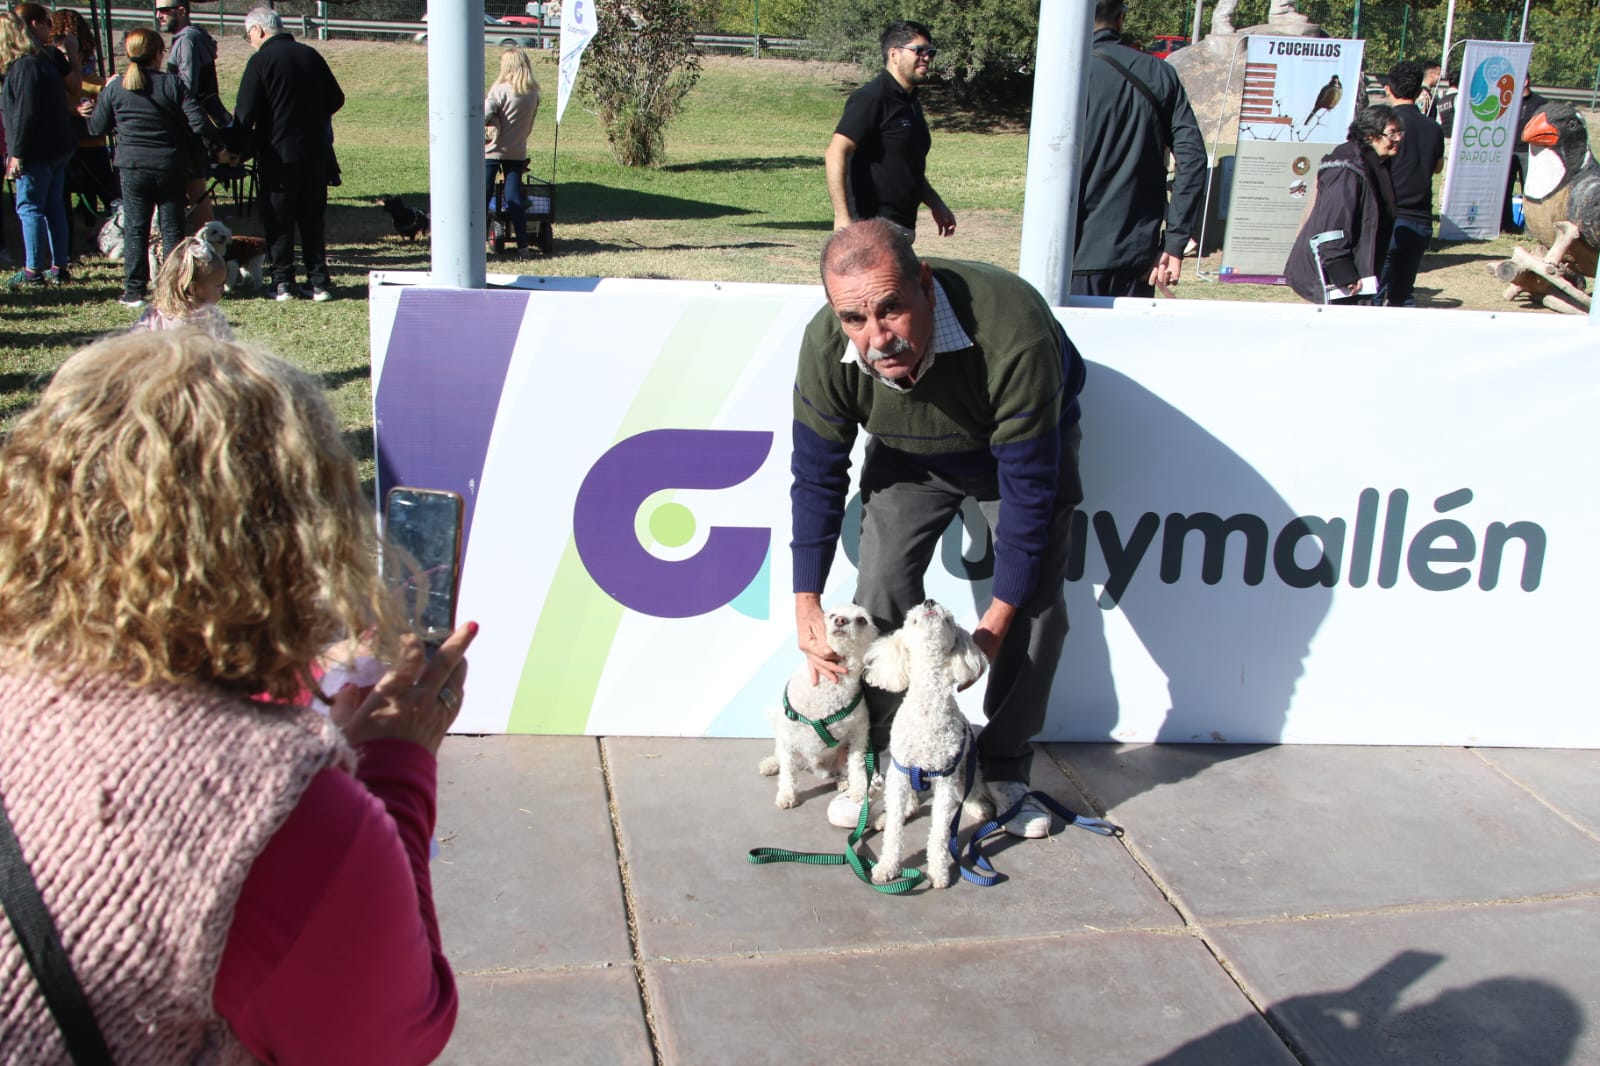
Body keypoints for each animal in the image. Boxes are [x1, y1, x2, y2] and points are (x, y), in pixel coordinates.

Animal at [758, 601, 876, 809]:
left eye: (862, 619)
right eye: (832, 615)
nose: (840, 620)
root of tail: (819, 769)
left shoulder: (859, 733)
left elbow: (857, 764)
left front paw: (859, 790)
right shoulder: (788, 737)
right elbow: (788, 771)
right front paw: (787, 794)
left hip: (840, 757)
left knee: (841, 770)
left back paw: (844, 782)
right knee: (782, 758)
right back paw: (770, 764)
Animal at [864, 598, 985, 889]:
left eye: (948, 619)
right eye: (912, 619)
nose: (930, 601)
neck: (928, 704)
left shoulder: (945, 780)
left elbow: (940, 831)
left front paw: (939, 871)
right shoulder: (900, 773)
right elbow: (894, 829)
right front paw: (887, 866)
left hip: (968, 770)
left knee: (972, 790)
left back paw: (978, 808)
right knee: (907, 804)